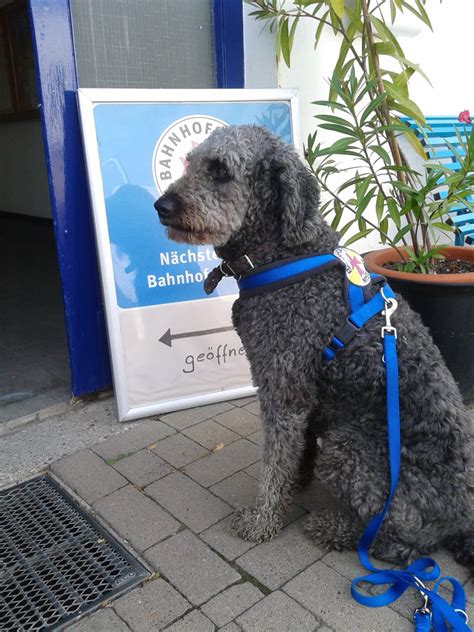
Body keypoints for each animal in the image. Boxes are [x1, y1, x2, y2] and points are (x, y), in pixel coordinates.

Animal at [154, 126, 472, 572]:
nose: (161, 206)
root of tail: (462, 514)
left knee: (401, 543)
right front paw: (296, 483)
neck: (284, 255)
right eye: (191, 163)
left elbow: (274, 461)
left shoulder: (282, 390)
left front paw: (263, 520)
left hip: (346, 450)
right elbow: (293, 452)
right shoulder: (297, 394)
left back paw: (336, 529)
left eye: (220, 171)